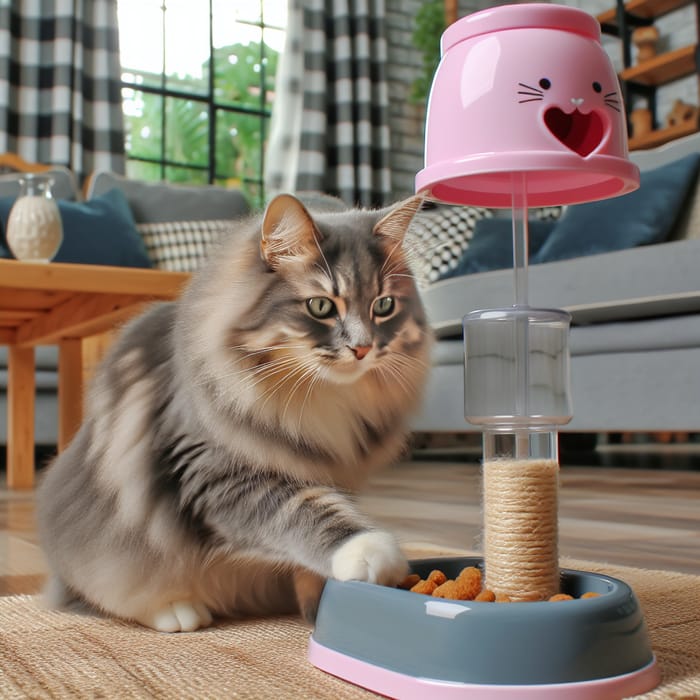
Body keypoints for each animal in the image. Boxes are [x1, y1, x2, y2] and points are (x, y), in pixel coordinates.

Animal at [38, 193, 432, 636]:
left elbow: (309, 548)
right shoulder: (214, 471)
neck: (321, 395)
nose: (363, 348)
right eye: (321, 306)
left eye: (384, 306)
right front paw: (368, 552)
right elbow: (305, 510)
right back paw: (179, 612)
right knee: (106, 594)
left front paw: (318, 606)